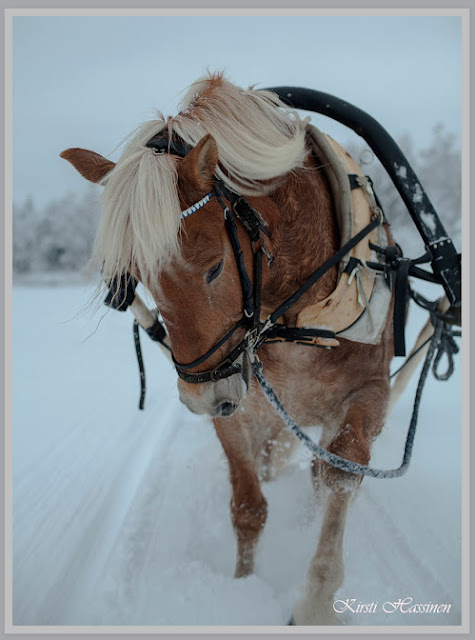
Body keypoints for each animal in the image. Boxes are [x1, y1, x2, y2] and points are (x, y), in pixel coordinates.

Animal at [61, 74, 398, 624]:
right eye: (140, 277)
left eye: (215, 266)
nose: (202, 398)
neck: (294, 321)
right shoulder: (238, 405)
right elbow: (247, 504)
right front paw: (242, 587)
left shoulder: (368, 393)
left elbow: (340, 476)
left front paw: (316, 603)